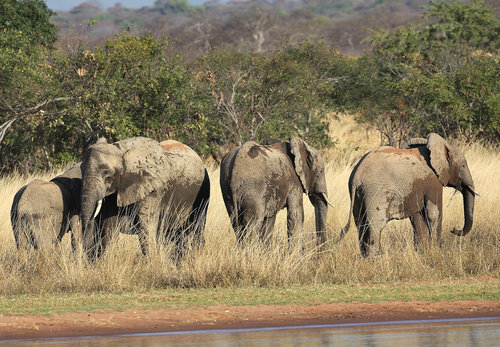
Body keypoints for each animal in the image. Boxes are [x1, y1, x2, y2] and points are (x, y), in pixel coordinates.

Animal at [81, 136, 210, 258]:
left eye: (107, 174)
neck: (122, 152)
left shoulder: (153, 188)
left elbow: (147, 223)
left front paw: (152, 261)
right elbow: (108, 224)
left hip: (204, 190)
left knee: (197, 228)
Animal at [340, 133, 476, 258]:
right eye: (463, 165)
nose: (453, 229)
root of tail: (356, 176)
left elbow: (417, 218)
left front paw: (423, 253)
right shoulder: (433, 181)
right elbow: (434, 214)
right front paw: (436, 252)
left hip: (358, 195)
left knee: (360, 225)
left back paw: (366, 258)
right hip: (375, 192)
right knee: (375, 225)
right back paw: (375, 259)